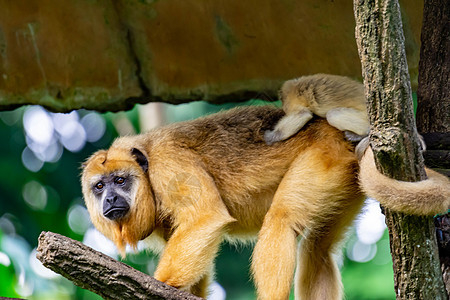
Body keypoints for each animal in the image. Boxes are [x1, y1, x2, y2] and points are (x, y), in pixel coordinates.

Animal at [81, 105, 450, 300]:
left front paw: (161, 287)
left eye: (120, 181)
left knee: (282, 219)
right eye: (98, 186)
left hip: (324, 157)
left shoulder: (170, 165)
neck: (146, 170)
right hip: (344, 178)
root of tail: (338, 133)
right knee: (317, 248)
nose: (110, 199)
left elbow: (206, 218)